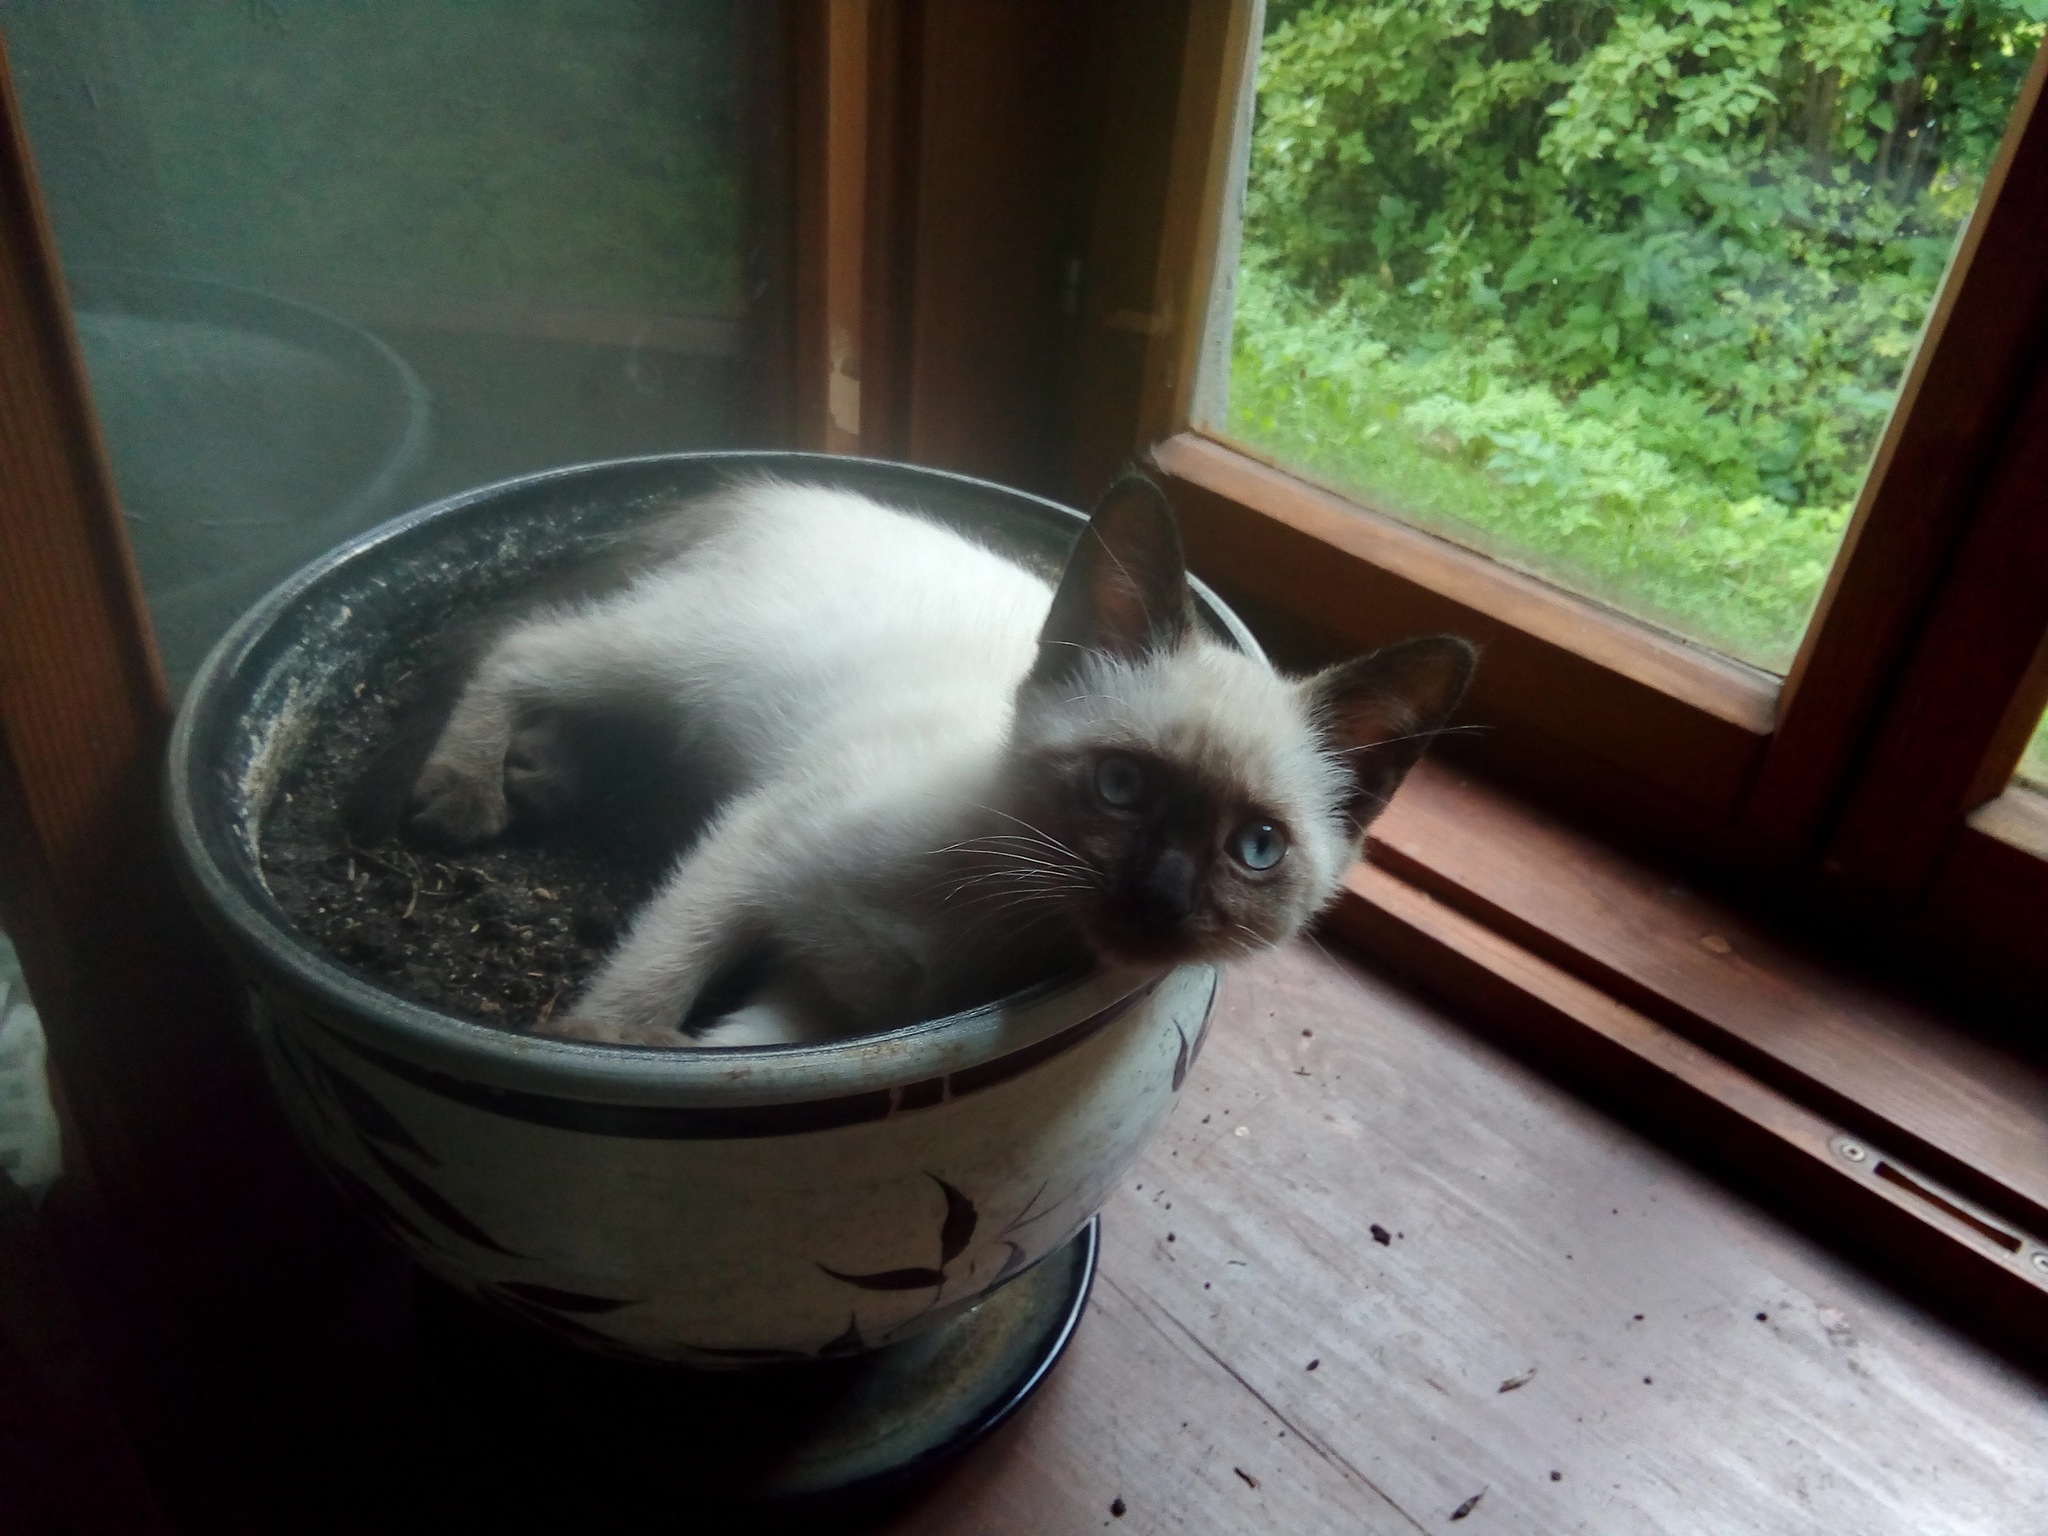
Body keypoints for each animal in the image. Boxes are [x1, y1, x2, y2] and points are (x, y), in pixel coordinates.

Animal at [411, 475, 1474, 1056]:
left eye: (1257, 849)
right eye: (1120, 786)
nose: (1163, 897)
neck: (991, 909)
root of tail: (780, 490)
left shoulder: (823, 1005)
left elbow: (718, 1040)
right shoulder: (754, 852)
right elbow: (651, 985)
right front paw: (598, 1043)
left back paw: (541, 772)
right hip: (682, 659)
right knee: (526, 643)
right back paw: (465, 790)